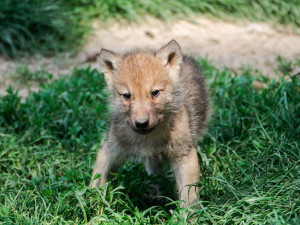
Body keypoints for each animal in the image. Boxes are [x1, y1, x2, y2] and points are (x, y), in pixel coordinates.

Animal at [90, 40, 210, 206]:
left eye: (155, 93)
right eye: (127, 95)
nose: (141, 123)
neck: (149, 139)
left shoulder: (185, 154)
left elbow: (189, 195)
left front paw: (189, 213)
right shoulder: (111, 149)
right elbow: (98, 175)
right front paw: (91, 203)